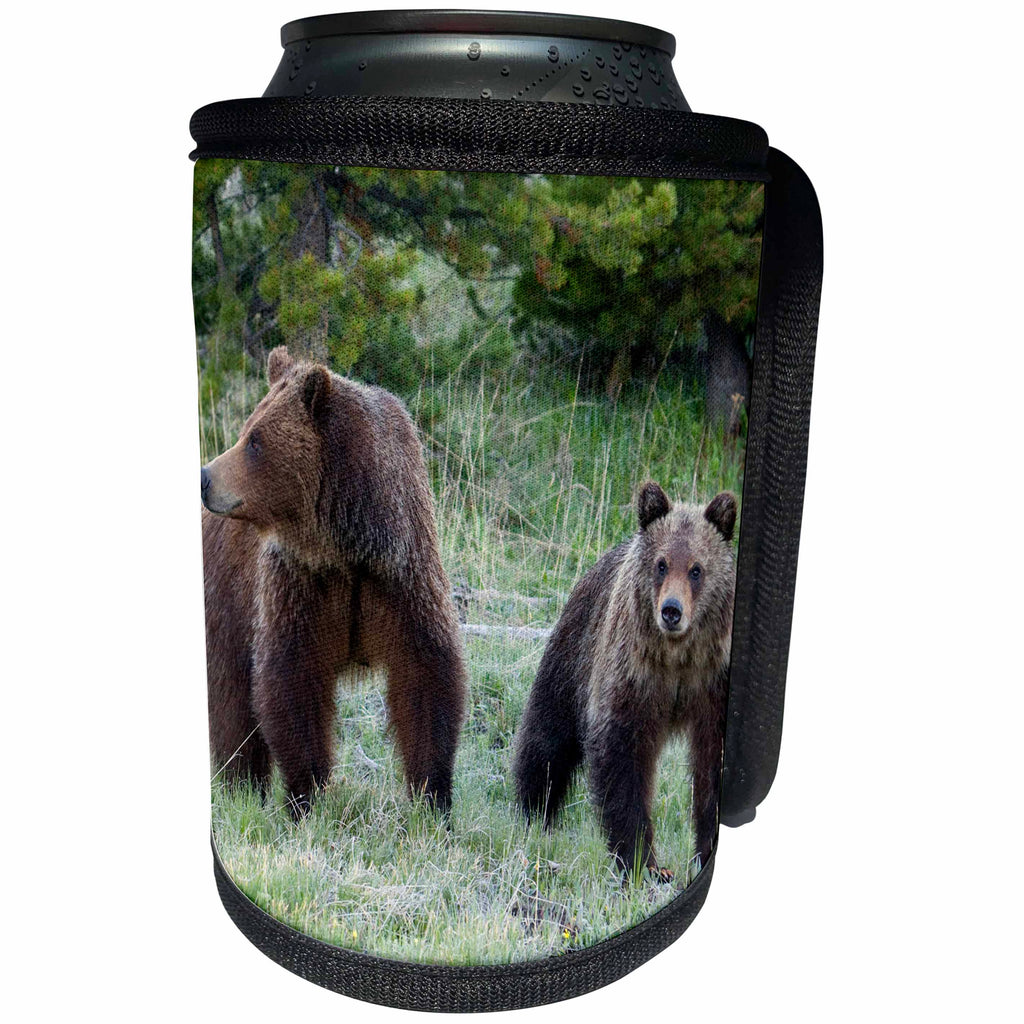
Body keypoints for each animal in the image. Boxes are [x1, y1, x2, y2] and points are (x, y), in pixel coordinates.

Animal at [201, 345, 467, 815]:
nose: (205, 478)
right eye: (247, 430)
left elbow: (426, 672)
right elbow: (290, 681)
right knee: (233, 703)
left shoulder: (401, 577)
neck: (347, 545)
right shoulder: (297, 584)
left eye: (255, 440)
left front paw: (433, 795)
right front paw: (307, 796)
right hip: (226, 601)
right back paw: (241, 786)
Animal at [513, 482, 737, 879]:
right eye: (661, 564)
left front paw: (705, 849)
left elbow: (713, 764)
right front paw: (642, 862)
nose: (671, 611)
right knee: (547, 734)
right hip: (575, 649)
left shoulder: (714, 682)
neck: (678, 657)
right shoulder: (632, 674)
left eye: (696, 569)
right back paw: (534, 809)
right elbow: (622, 755)